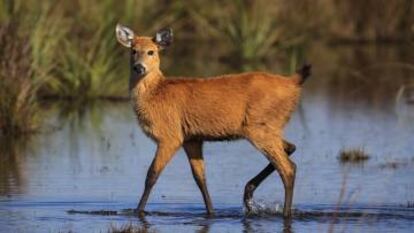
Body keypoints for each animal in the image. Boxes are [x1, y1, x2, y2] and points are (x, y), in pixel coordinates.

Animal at [115, 24, 308, 218]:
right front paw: (211, 212)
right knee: (291, 149)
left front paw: (137, 211)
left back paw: (283, 212)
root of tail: (292, 83)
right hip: (269, 128)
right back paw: (248, 195)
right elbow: (200, 178)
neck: (156, 93)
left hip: (259, 129)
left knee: (288, 168)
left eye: (151, 51)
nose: (139, 68)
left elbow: (152, 174)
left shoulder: (170, 137)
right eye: (133, 51)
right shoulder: (192, 139)